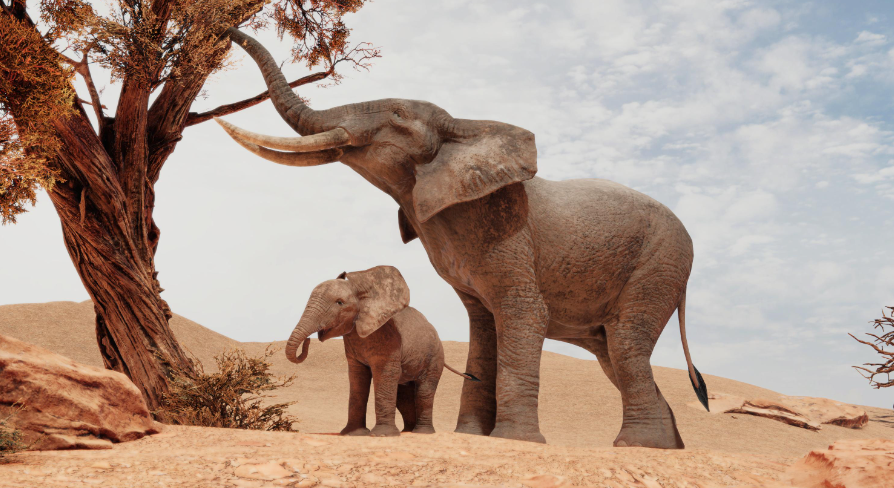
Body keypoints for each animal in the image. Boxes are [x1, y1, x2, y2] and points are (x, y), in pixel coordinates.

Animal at [285, 266, 477, 437]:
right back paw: (407, 431)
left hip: (434, 356)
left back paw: (422, 433)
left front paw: (382, 435)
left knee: (424, 391)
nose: (308, 340)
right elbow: (357, 378)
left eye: (339, 303)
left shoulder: (388, 338)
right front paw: (353, 434)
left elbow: (383, 375)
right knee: (403, 396)